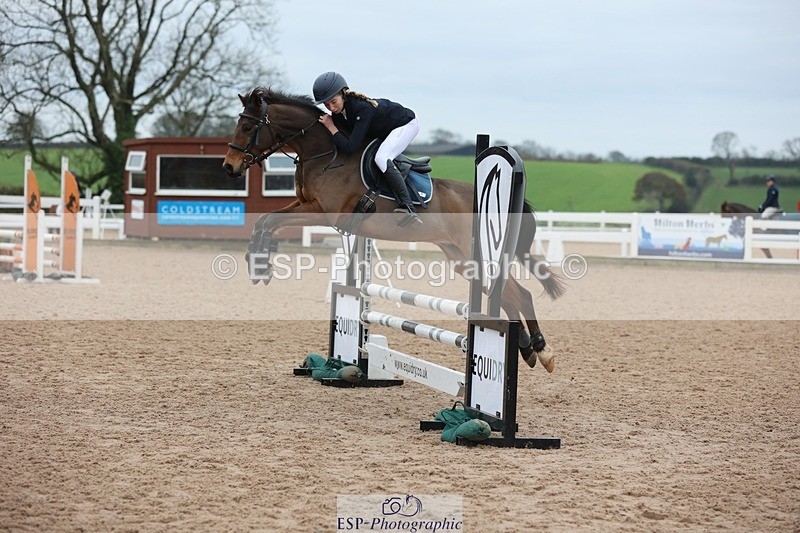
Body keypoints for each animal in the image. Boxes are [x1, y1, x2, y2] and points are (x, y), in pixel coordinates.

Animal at [222, 87, 565, 372]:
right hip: (462, 259)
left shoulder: (322, 213)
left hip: (475, 254)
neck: (325, 154)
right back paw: (526, 348)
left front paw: (261, 266)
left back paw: (542, 350)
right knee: (506, 296)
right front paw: (259, 263)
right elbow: (265, 220)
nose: (229, 167)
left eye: (249, 127)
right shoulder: (304, 205)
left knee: (519, 294)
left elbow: (270, 221)